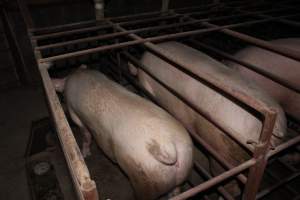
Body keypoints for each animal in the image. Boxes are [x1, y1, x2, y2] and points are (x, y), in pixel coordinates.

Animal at [52, 67, 193, 200]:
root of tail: (169, 147)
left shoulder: (75, 114)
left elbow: (86, 135)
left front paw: (86, 154)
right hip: (181, 170)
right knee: (176, 191)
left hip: (145, 177)